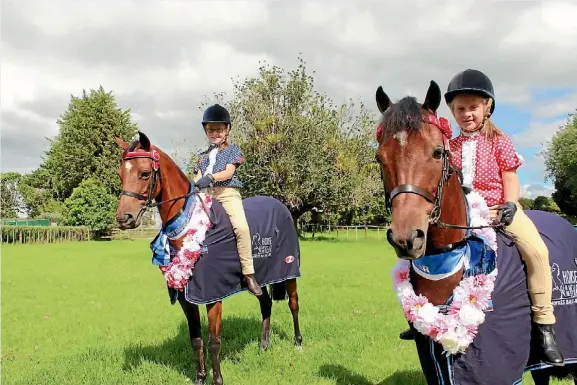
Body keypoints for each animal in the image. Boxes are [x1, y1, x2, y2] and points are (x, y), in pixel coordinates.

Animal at [112, 132, 302, 384]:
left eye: (144, 173)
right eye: (120, 173)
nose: (124, 218)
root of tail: (281, 206)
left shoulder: (213, 297)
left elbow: (214, 342)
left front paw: (217, 379)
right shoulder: (186, 298)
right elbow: (196, 340)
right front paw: (200, 378)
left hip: (290, 272)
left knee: (293, 304)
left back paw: (298, 343)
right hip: (260, 278)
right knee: (266, 303)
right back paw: (264, 345)